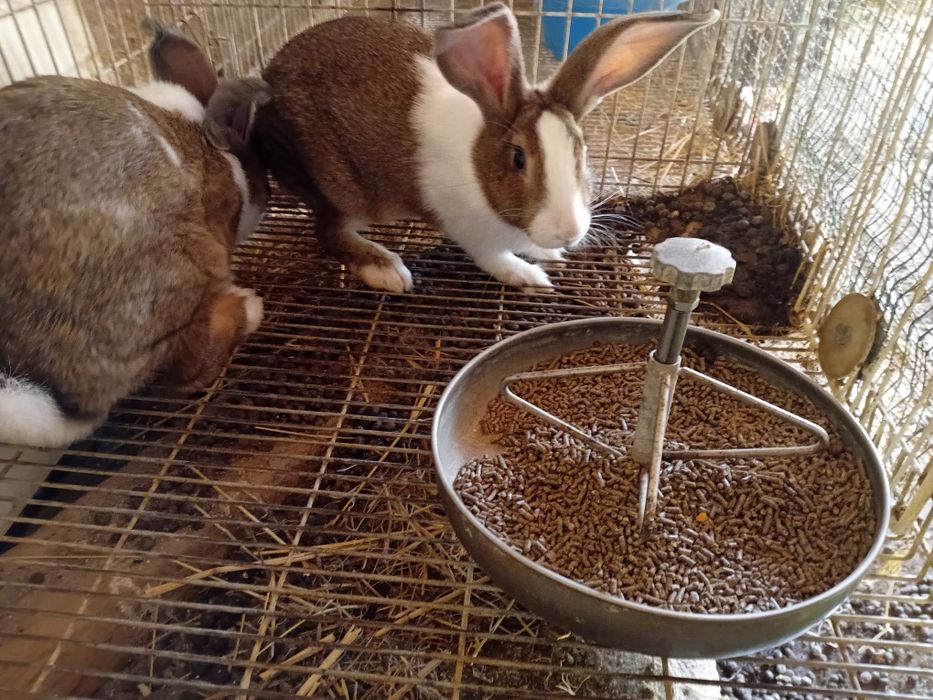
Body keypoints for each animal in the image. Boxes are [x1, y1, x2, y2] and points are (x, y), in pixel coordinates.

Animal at [255, 3, 719, 293]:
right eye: (518, 158)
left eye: (582, 150)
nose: (569, 232)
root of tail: (268, 78)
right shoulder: (469, 230)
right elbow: (494, 258)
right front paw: (531, 277)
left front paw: (548, 253)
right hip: (343, 188)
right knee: (329, 231)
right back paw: (386, 270)